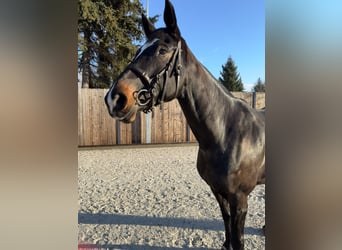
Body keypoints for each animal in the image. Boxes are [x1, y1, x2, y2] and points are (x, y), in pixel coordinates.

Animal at [104, 0, 264, 249]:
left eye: (162, 50)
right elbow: (226, 225)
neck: (226, 133)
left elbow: (238, 240)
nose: (115, 98)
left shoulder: (240, 199)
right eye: (139, 50)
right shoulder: (218, 192)